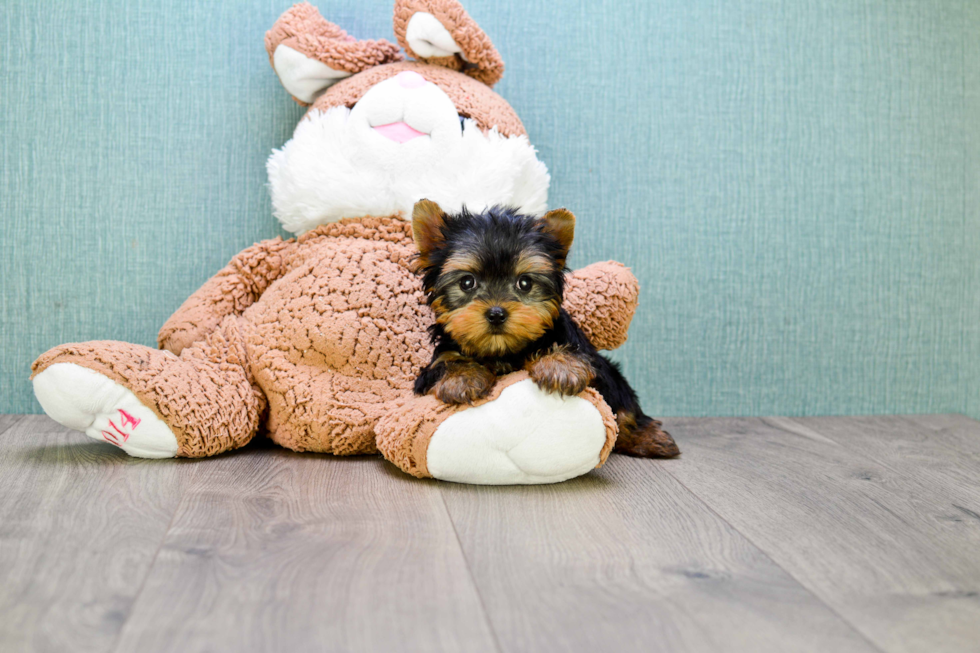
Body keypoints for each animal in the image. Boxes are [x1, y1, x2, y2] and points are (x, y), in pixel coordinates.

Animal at [410, 199, 676, 458]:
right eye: (467, 282)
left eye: (525, 283)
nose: (496, 313)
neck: (503, 352)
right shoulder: (432, 366)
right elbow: (446, 361)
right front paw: (462, 378)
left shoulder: (585, 354)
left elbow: (576, 357)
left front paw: (559, 366)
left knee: (625, 404)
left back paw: (649, 438)